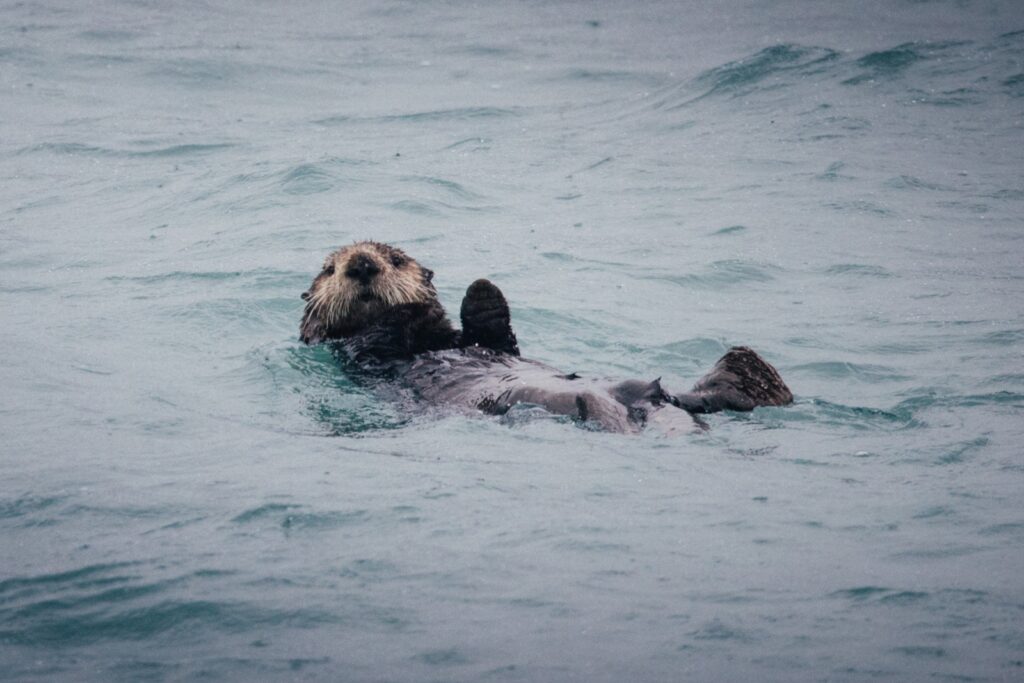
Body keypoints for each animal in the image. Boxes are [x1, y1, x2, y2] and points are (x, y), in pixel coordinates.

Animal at [296, 240, 790, 432]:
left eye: (396, 259)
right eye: (329, 269)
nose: (362, 264)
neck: (427, 342)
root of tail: (648, 404)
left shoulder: (485, 344)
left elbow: (493, 337)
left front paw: (481, 293)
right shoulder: (364, 355)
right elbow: (376, 333)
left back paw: (761, 379)